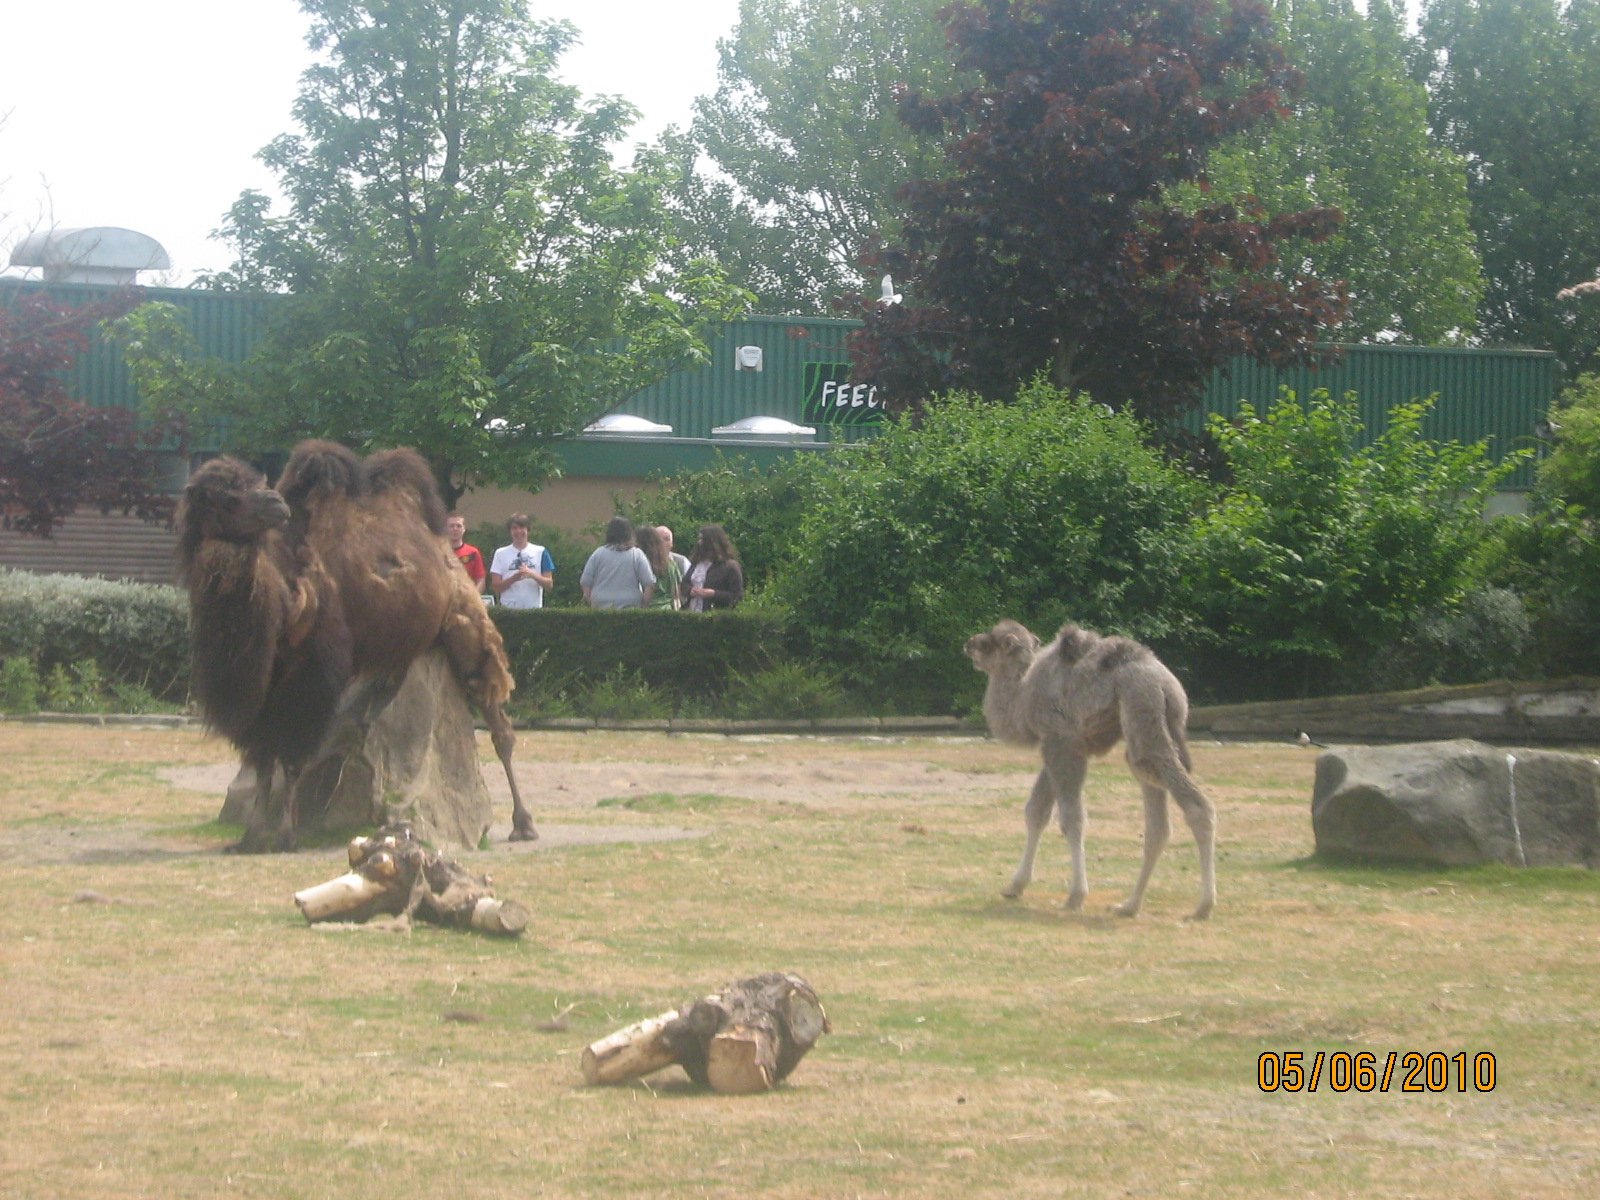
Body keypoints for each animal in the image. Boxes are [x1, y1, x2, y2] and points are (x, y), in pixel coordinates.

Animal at [176, 442, 536, 851]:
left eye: (251, 485)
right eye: (225, 497)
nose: (274, 503)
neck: (284, 600)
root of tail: (447, 551)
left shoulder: (311, 675)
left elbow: (291, 757)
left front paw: (285, 835)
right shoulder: (264, 687)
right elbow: (263, 758)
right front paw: (250, 837)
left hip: (467, 627)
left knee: (499, 726)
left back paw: (524, 824)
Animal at [965, 620, 1216, 920]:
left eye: (989, 642)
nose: (969, 643)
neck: (1023, 698)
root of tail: (1167, 684)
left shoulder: (1061, 741)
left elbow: (1071, 818)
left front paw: (1075, 896)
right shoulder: (1064, 746)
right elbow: (1037, 811)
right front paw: (1014, 886)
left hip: (1142, 716)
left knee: (1196, 807)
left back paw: (1203, 906)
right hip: (1151, 731)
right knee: (1158, 823)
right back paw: (1129, 905)